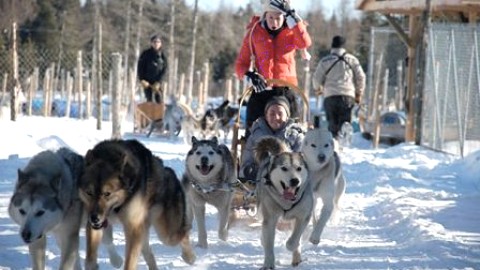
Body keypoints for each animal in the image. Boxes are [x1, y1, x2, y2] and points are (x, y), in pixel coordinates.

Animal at [79, 139, 196, 270]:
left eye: (107, 193)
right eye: (89, 193)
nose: (94, 218)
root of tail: (169, 172)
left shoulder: (133, 228)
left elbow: (129, 263)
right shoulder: (96, 226)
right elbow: (90, 259)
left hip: (166, 234)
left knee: (183, 233)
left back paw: (190, 257)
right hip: (143, 233)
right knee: (150, 254)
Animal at [253, 137, 314, 270]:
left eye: (299, 168)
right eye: (284, 168)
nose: (295, 181)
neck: (287, 202)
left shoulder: (303, 216)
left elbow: (294, 240)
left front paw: (291, 246)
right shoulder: (270, 219)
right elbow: (269, 244)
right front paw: (268, 264)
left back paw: (296, 258)